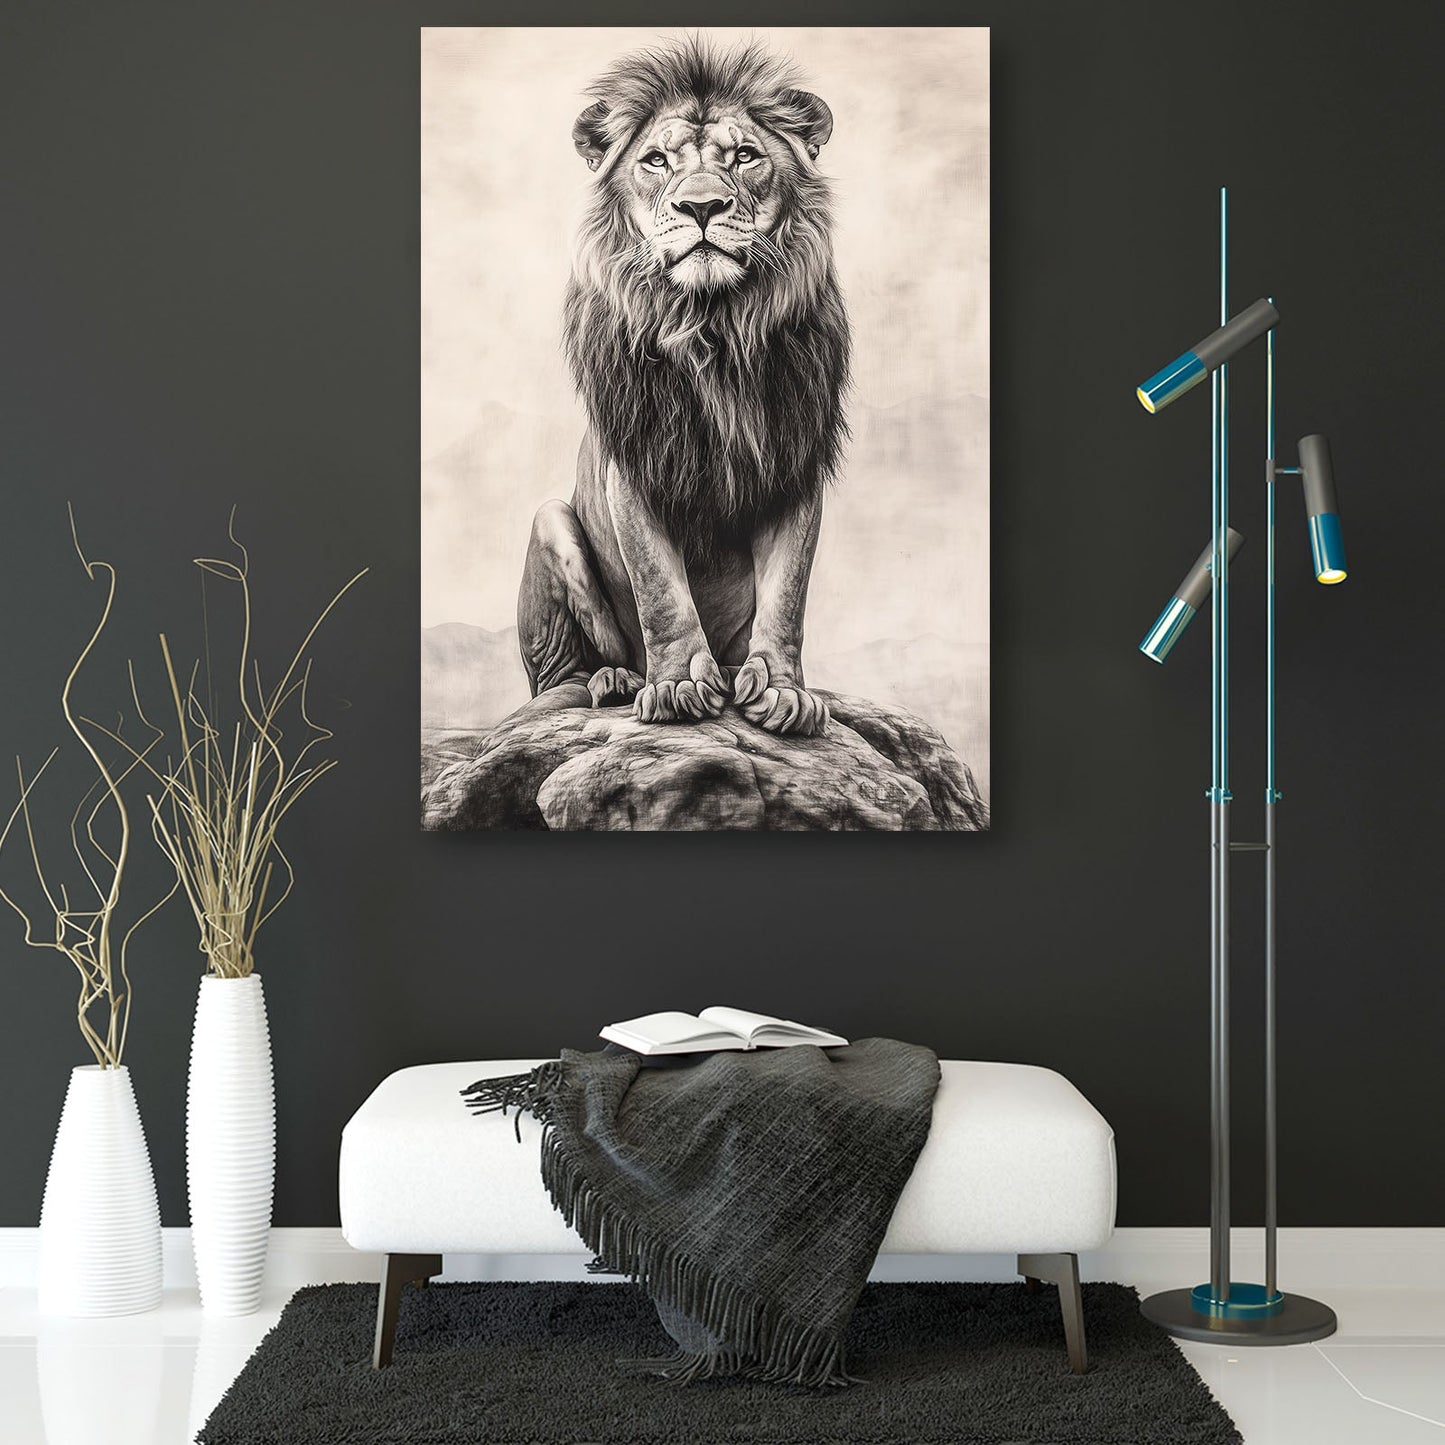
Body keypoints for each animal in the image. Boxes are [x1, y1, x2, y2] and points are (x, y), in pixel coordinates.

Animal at [516, 37, 849, 737]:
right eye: (656, 161)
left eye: (745, 156)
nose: (700, 207)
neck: (712, 328)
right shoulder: (634, 467)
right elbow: (660, 590)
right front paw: (676, 687)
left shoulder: (793, 462)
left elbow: (787, 595)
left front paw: (784, 692)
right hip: (549, 520)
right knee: (562, 675)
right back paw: (616, 681)